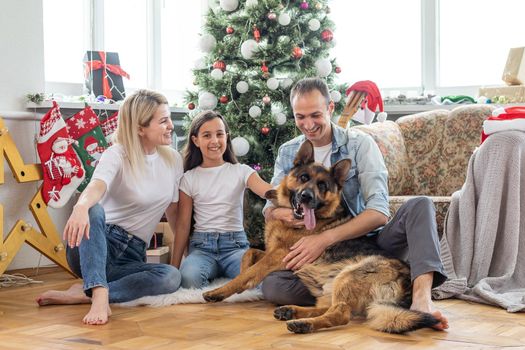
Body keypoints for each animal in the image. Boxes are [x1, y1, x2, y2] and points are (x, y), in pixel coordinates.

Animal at [203, 139, 440, 334]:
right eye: (303, 178)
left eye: (323, 185)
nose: (307, 197)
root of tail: (406, 287)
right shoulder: (275, 252)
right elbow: (249, 254)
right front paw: (241, 275)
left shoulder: (279, 255)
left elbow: (249, 273)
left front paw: (219, 291)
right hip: (329, 288)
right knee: (328, 308)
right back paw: (292, 312)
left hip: (348, 276)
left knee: (340, 314)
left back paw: (303, 324)